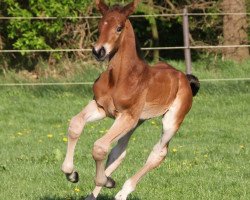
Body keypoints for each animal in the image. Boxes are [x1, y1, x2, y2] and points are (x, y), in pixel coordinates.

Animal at [61, 0, 200, 199]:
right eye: (100, 26)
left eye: (119, 28)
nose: (98, 51)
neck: (120, 78)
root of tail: (185, 78)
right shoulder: (101, 107)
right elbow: (75, 125)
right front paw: (71, 174)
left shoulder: (126, 115)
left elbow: (99, 147)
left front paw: (105, 181)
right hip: (136, 121)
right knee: (119, 151)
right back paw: (95, 191)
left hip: (169, 121)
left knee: (158, 153)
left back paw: (122, 191)